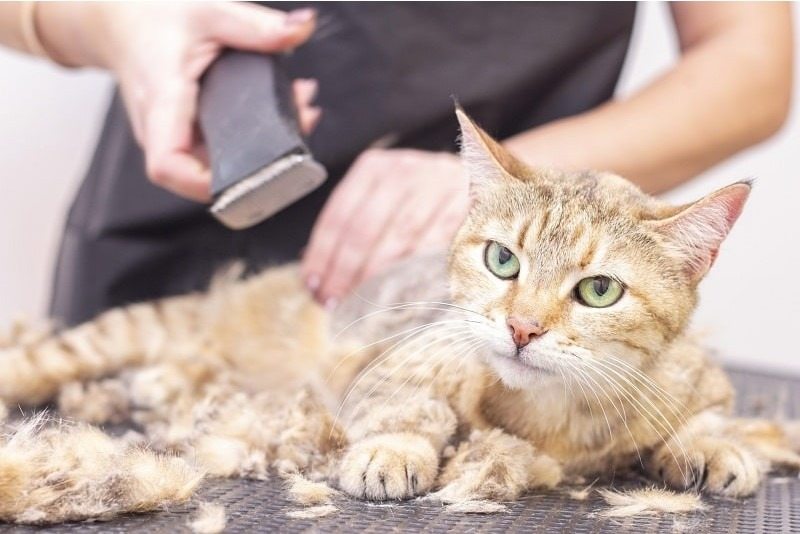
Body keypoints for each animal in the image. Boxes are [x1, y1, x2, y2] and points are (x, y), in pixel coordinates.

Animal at [1, 110, 800, 524]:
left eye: (599, 291)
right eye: (502, 261)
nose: (522, 328)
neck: (554, 418)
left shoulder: (688, 375)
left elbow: (707, 410)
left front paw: (716, 443)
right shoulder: (399, 355)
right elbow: (401, 407)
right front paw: (393, 450)